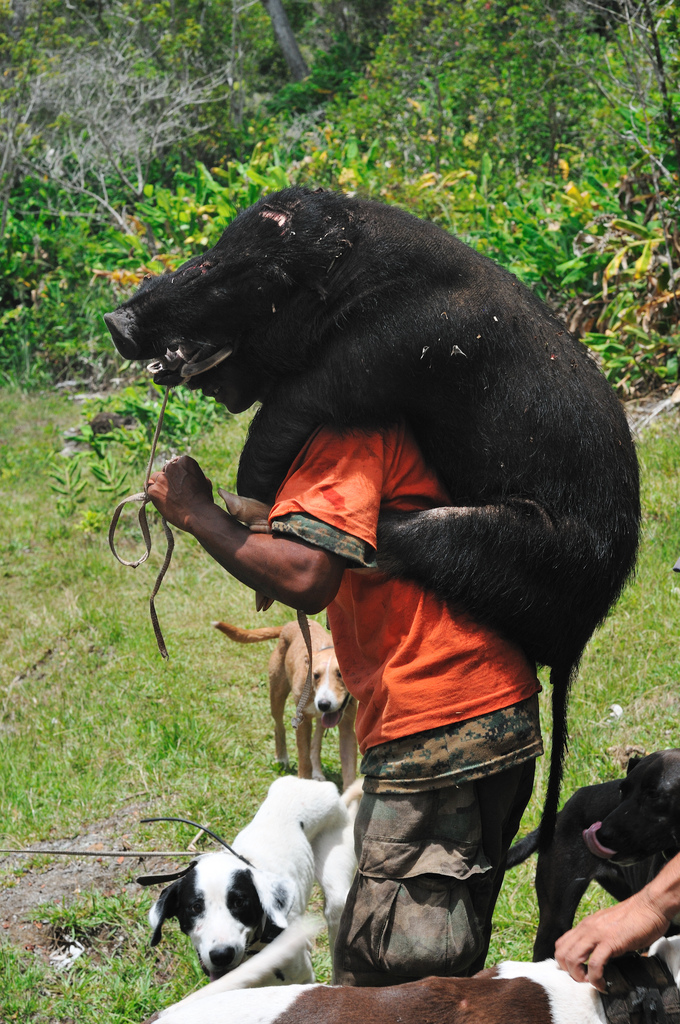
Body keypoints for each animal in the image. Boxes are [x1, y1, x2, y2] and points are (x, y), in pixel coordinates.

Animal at [215, 614, 358, 790]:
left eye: (341, 675)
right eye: (315, 675)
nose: (324, 704)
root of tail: (289, 625)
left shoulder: (347, 728)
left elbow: (349, 770)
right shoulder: (302, 721)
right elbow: (304, 759)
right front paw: (303, 782)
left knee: (315, 743)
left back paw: (317, 772)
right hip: (277, 694)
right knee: (279, 727)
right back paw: (282, 758)